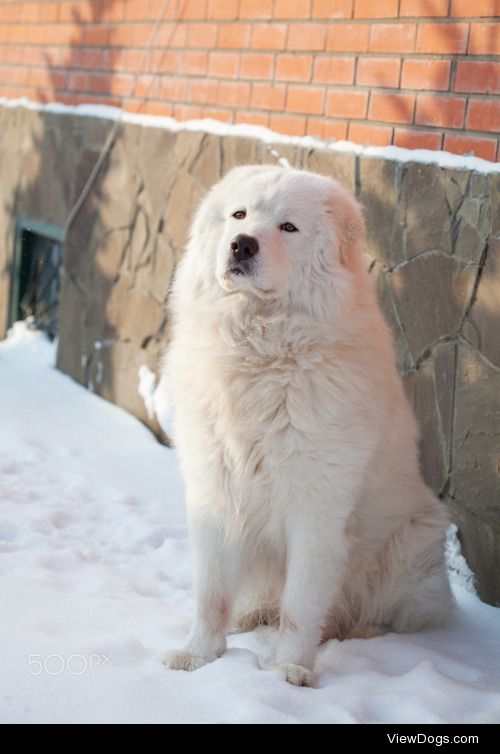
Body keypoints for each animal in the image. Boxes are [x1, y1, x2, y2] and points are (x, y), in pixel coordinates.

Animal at [161, 166, 454, 688]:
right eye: (240, 215)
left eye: (288, 227)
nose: (241, 245)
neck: (260, 354)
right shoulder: (216, 491)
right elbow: (211, 592)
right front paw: (199, 657)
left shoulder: (317, 508)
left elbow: (300, 606)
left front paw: (289, 672)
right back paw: (249, 617)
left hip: (410, 544)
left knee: (392, 616)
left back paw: (363, 633)